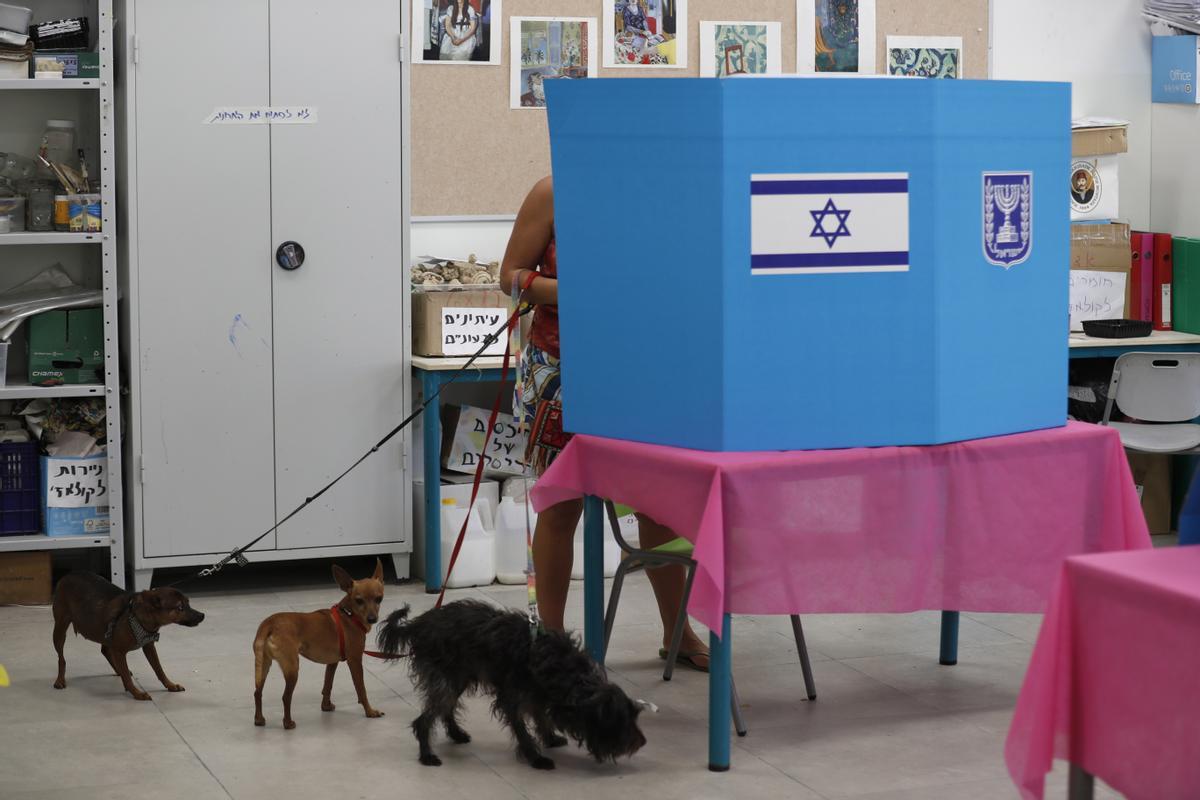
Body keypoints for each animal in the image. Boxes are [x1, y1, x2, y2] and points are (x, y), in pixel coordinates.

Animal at [50, 575, 206, 700]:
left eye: (188, 603)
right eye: (180, 608)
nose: (202, 615)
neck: (137, 616)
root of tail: (66, 576)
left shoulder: (149, 646)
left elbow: (159, 670)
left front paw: (170, 685)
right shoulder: (119, 651)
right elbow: (128, 677)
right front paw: (137, 693)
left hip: (105, 634)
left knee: (106, 652)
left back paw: (119, 671)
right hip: (60, 630)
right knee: (61, 659)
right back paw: (60, 680)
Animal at [252, 561, 384, 729]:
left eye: (379, 599)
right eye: (359, 600)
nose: (372, 618)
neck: (349, 615)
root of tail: (269, 623)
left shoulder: (332, 663)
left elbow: (327, 685)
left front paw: (326, 706)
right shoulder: (355, 661)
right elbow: (361, 689)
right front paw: (370, 711)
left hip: (263, 666)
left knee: (257, 692)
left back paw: (259, 719)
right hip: (292, 669)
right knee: (286, 697)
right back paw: (288, 723)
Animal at [379, 599, 648, 767]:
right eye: (621, 721)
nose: (642, 742)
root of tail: (419, 624)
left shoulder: (538, 696)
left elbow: (541, 718)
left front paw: (550, 739)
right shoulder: (511, 698)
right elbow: (522, 729)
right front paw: (536, 758)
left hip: (458, 678)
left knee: (446, 708)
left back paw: (456, 734)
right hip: (445, 680)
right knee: (424, 720)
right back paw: (427, 755)